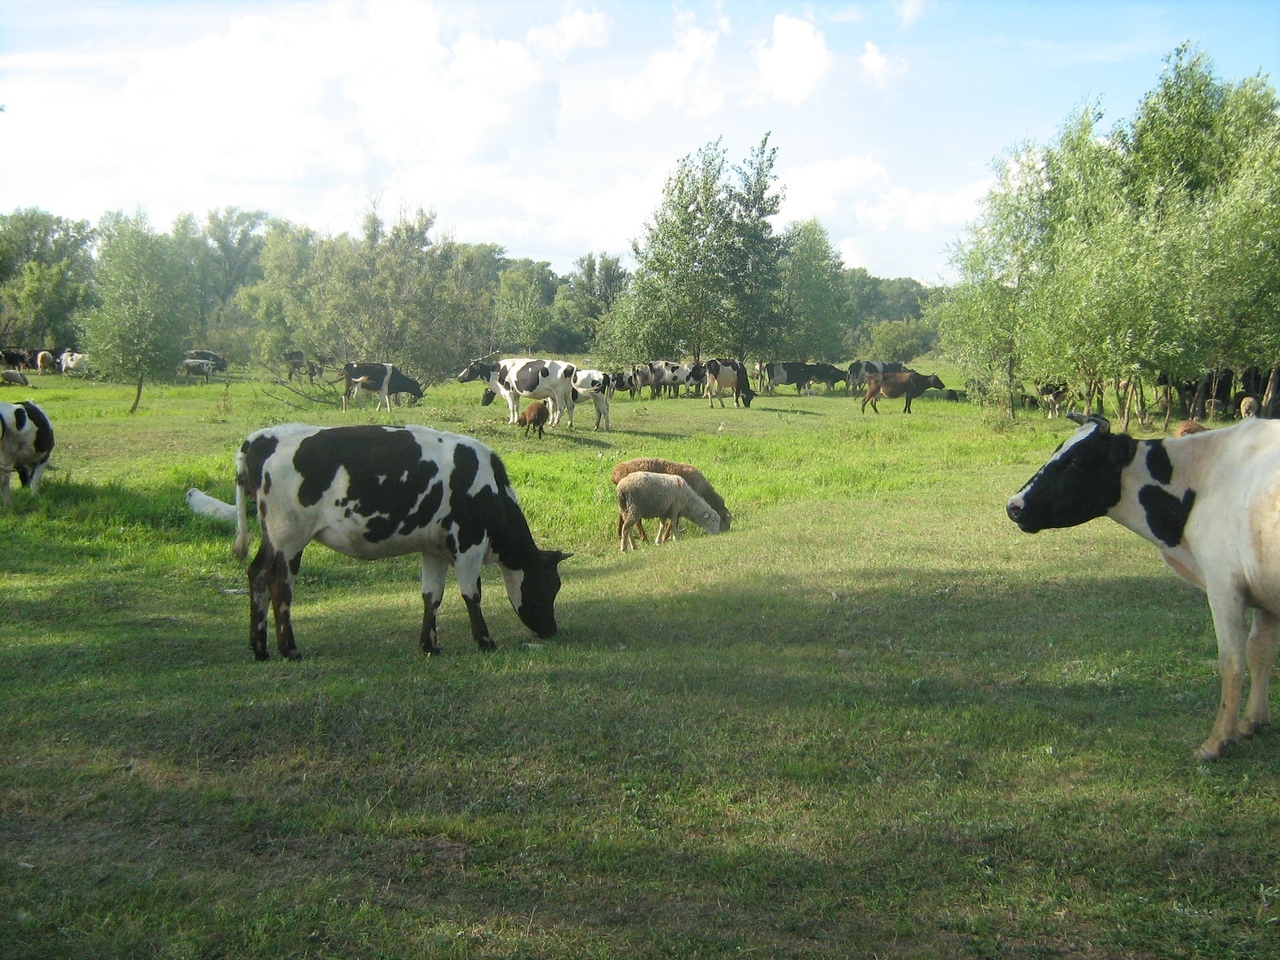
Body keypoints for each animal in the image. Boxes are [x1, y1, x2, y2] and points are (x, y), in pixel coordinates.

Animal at [230, 423, 571, 659]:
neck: (491, 485)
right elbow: (472, 594)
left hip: (273, 536)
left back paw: (260, 649)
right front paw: (485, 641)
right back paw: (290, 649)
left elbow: (432, 596)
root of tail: (261, 437)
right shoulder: (468, 542)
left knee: (257, 575)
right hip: (290, 535)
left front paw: (430, 645)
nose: (552, 630)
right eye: (552, 585)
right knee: (279, 584)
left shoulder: (435, 550)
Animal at [1007, 413, 1280, 761]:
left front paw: (1216, 742)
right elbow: (1260, 653)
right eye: (1059, 450)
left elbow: (1232, 662)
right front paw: (1253, 722)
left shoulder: (1223, 584)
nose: (1013, 506)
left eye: (1073, 462)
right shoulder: (1265, 593)